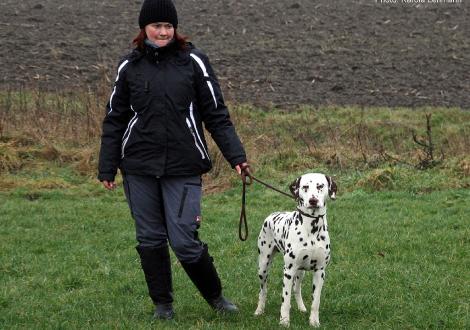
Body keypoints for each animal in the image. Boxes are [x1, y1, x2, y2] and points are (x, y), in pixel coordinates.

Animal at [253, 173, 338, 328]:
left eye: (320, 186)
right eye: (305, 187)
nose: (313, 200)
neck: (311, 229)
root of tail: (272, 215)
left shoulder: (320, 272)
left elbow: (315, 302)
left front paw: (314, 321)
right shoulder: (288, 271)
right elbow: (285, 301)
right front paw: (284, 321)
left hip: (300, 272)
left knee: (296, 289)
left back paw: (301, 307)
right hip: (263, 266)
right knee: (263, 290)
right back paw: (259, 310)